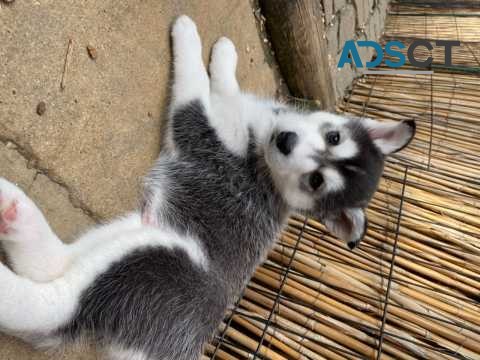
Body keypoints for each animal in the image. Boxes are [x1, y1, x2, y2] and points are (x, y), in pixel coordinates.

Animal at [0, 16, 412, 360]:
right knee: (51, 263)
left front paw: (190, 37)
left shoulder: (199, 127)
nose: (286, 141)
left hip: (152, 258)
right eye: (333, 136)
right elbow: (224, 87)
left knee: (52, 303)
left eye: (316, 181)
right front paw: (227, 54)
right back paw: (15, 212)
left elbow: (198, 86)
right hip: (132, 230)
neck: (264, 148)